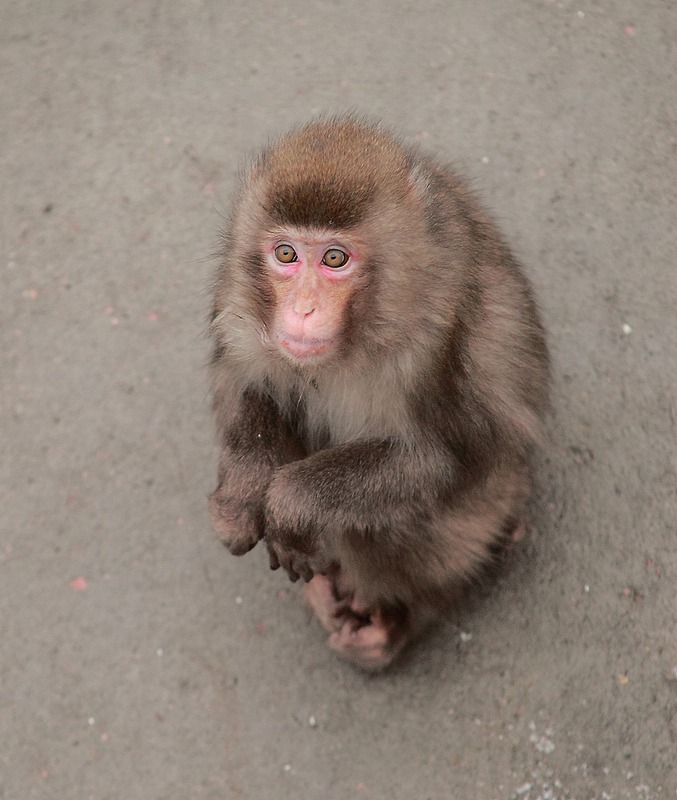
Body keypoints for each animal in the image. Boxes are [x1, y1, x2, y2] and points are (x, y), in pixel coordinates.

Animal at [207, 117, 548, 668]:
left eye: (335, 259)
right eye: (286, 254)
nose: (302, 309)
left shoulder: (434, 338)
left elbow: (441, 459)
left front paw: (290, 504)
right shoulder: (236, 297)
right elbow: (244, 383)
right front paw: (241, 497)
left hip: (485, 515)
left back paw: (405, 614)